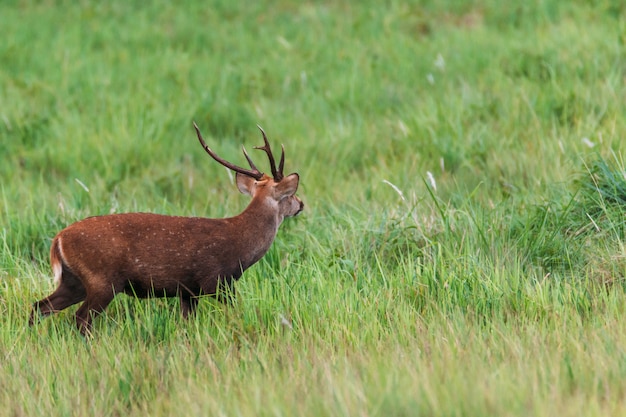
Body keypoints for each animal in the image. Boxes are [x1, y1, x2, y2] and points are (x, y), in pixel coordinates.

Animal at [29, 121, 302, 334]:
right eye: (290, 195)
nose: (301, 204)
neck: (241, 244)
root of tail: (58, 240)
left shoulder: (188, 291)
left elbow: (187, 324)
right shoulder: (216, 280)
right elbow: (237, 311)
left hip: (74, 280)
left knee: (39, 307)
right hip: (101, 279)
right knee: (80, 319)